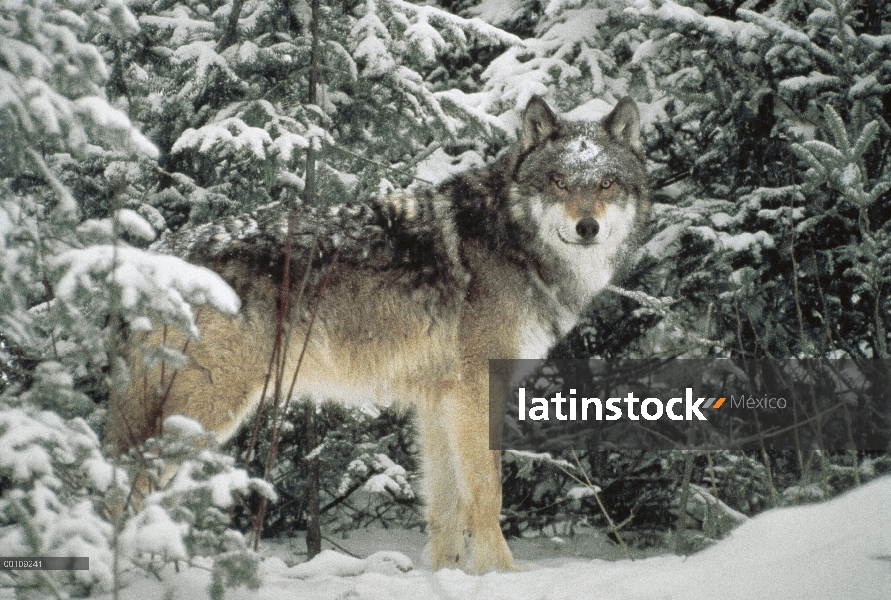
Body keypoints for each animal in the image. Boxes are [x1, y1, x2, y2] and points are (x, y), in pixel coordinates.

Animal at [108, 96, 652, 568]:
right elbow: (486, 495)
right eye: (559, 181)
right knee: (127, 487)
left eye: (606, 183)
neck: (513, 241)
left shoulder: (438, 401)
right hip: (206, 411)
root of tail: (155, 253)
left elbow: (446, 507)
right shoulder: (476, 392)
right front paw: (502, 575)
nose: (587, 227)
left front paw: (449, 574)